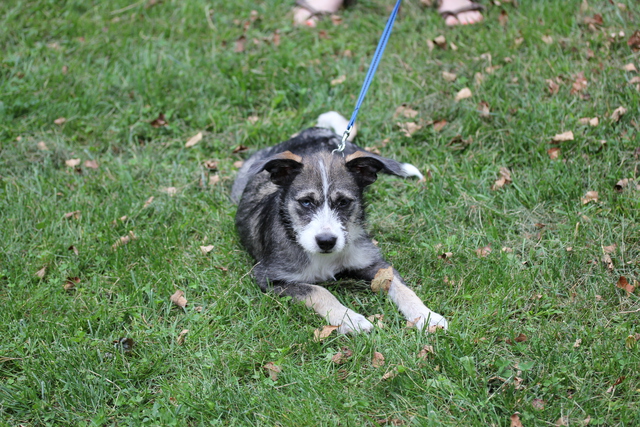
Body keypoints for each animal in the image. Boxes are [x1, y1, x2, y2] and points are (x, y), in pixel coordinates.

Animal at [231, 112, 448, 334]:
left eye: (343, 202)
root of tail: (314, 132)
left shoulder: (375, 263)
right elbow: (318, 290)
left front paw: (426, 315)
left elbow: (401, 286)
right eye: (306, 202)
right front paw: (351, 319)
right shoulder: (268, 276)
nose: (326, 241)